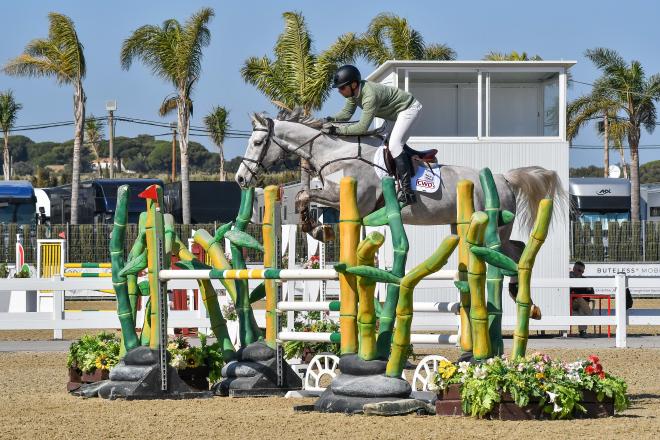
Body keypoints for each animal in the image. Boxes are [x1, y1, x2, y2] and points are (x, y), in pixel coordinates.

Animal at [235, 111, 564, 262]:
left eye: (257, 142)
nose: (240, 179)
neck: (336, 152)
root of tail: (504, 178)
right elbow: (304, 198)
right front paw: (317, 228)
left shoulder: (351, 200)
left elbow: (304, 194)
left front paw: (318, 230)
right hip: (464, 225)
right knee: (516, 249)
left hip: (494, 226)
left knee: (511, 253)